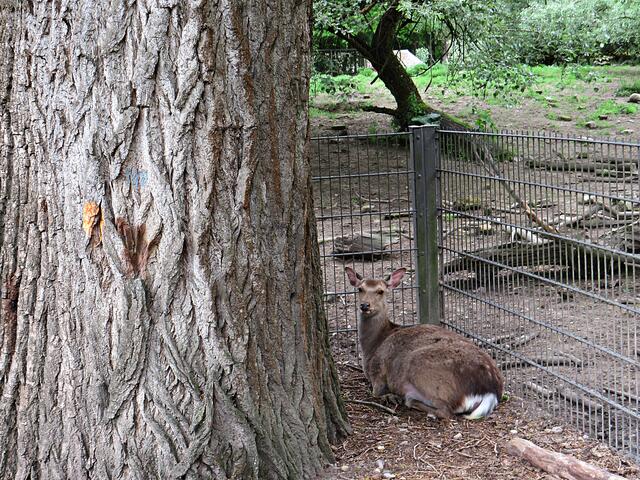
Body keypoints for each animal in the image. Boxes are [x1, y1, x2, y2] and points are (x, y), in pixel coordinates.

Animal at [346, 266, 504, 420]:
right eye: (360, 289)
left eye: (380, 291)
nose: (365, 305)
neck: (372, 346)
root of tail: (490, 391)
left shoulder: (377, 372)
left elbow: (376, 393)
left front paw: (389, 396)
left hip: (422, 369)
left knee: (445, 410)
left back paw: (409, 399)